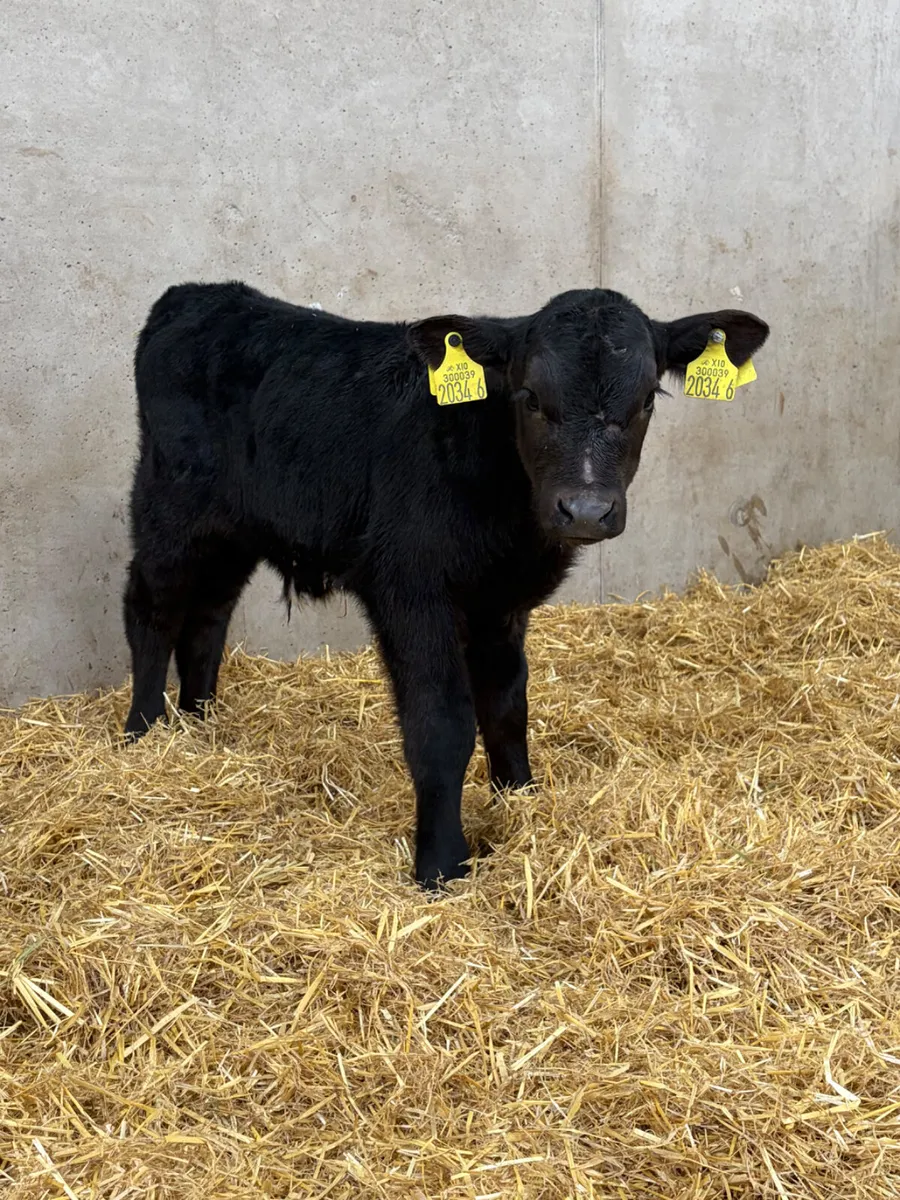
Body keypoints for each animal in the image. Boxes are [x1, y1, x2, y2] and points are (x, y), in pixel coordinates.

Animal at [123, 282, 768, 888]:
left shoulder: (502, 602)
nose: (585, 510)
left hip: (233, 529)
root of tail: (199, 295)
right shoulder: (412, 592)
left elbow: (507, 705)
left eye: (645, 401)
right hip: (168, 506)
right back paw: (143, 734)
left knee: (208, 616)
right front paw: (441, 864)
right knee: (151, 610)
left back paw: (202, 726)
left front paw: (519, 799)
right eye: (531, 397)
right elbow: (441, 725)